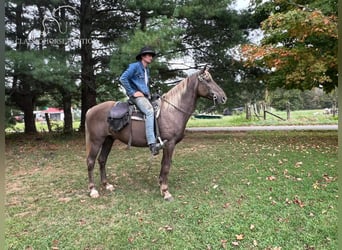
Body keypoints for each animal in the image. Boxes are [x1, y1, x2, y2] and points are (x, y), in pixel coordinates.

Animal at [85, 65, 227, 200]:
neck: (172, 110)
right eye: (207, 80)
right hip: (96, 141)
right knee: (91, 161)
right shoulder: (169, 144)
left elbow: (163, 164)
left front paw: (161, 184)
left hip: (108, 139)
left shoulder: (166, 144)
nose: (223, 97)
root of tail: (91, 110)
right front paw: (165, 191)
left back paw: (106, 185)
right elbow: (166, 166)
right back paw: (93, 190)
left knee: (102, 160)